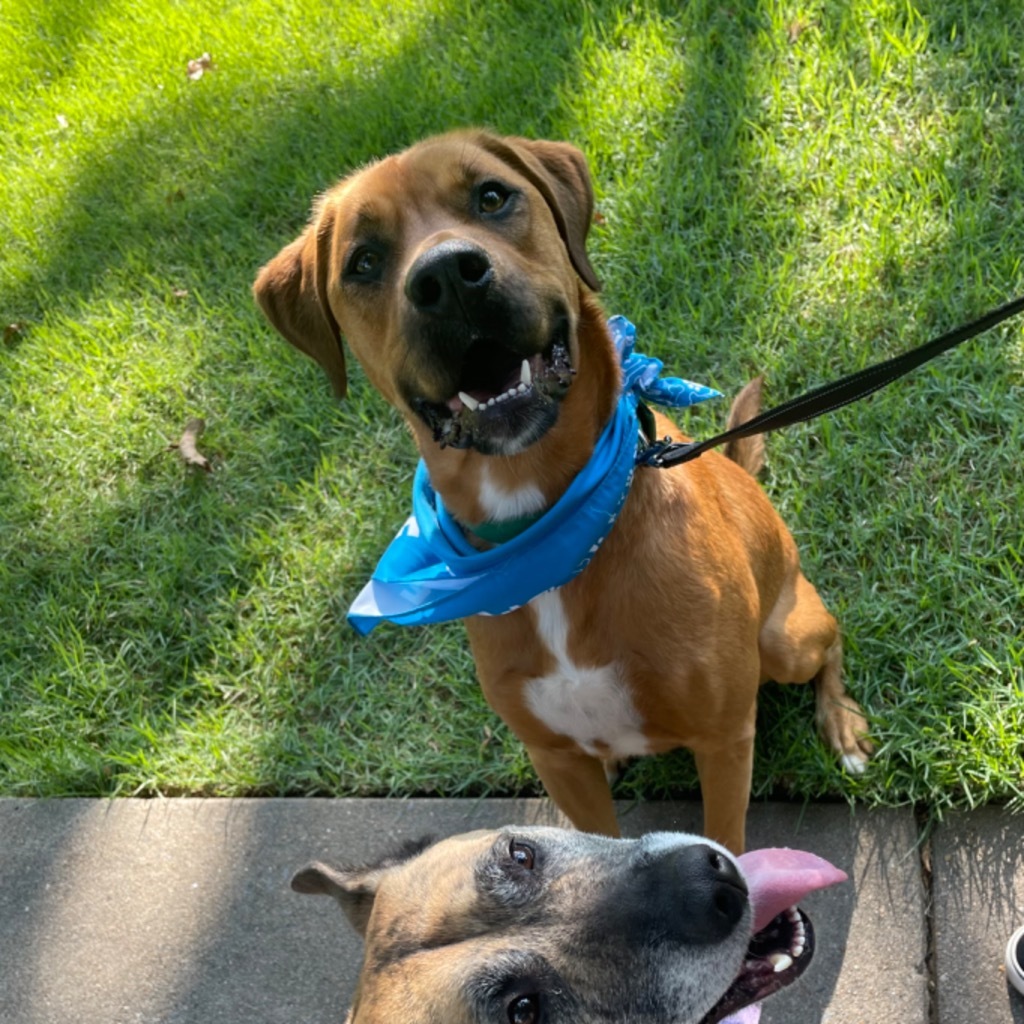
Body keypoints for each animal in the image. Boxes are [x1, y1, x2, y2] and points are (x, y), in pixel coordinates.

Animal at [256, 134, 872, 856]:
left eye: (492, 196)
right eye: (364, 260)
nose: (447, 277)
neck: (547, 523)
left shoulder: (724, 739)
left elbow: (729, 842)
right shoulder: (554, 760)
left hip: (783, 641)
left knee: (831, 644)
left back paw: (843, 724)